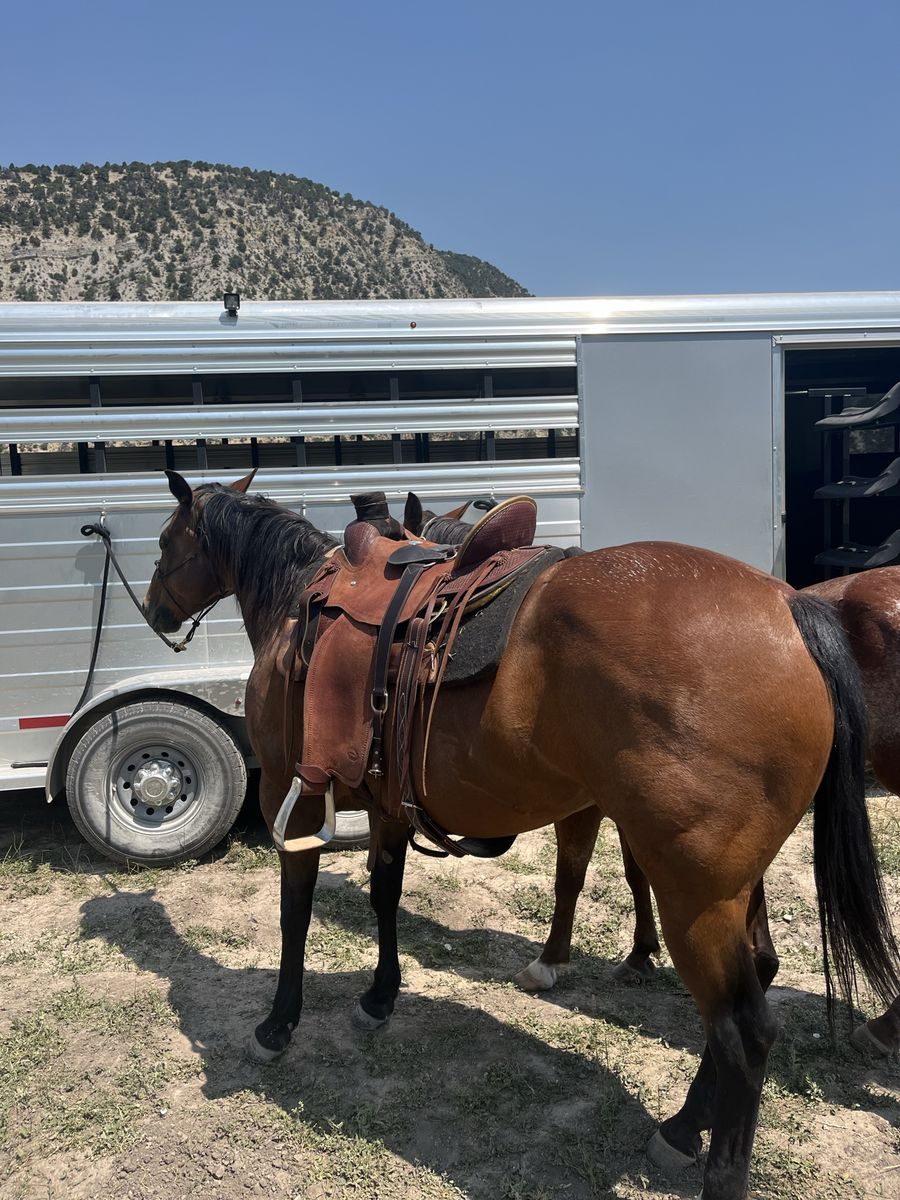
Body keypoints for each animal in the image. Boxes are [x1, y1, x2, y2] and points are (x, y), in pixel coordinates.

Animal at [143, 469, 900, 1200]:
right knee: (756, 981)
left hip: (695, 898)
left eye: (164, 542)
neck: (302, 599)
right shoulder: (386, 805)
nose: (153, 611)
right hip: (733, 884)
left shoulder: (290, 797)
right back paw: (684, 1128)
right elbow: (385, 898)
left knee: (744, 1031)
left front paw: (278, 1025)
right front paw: (379, 998)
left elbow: (294, 915)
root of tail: (791, 611)